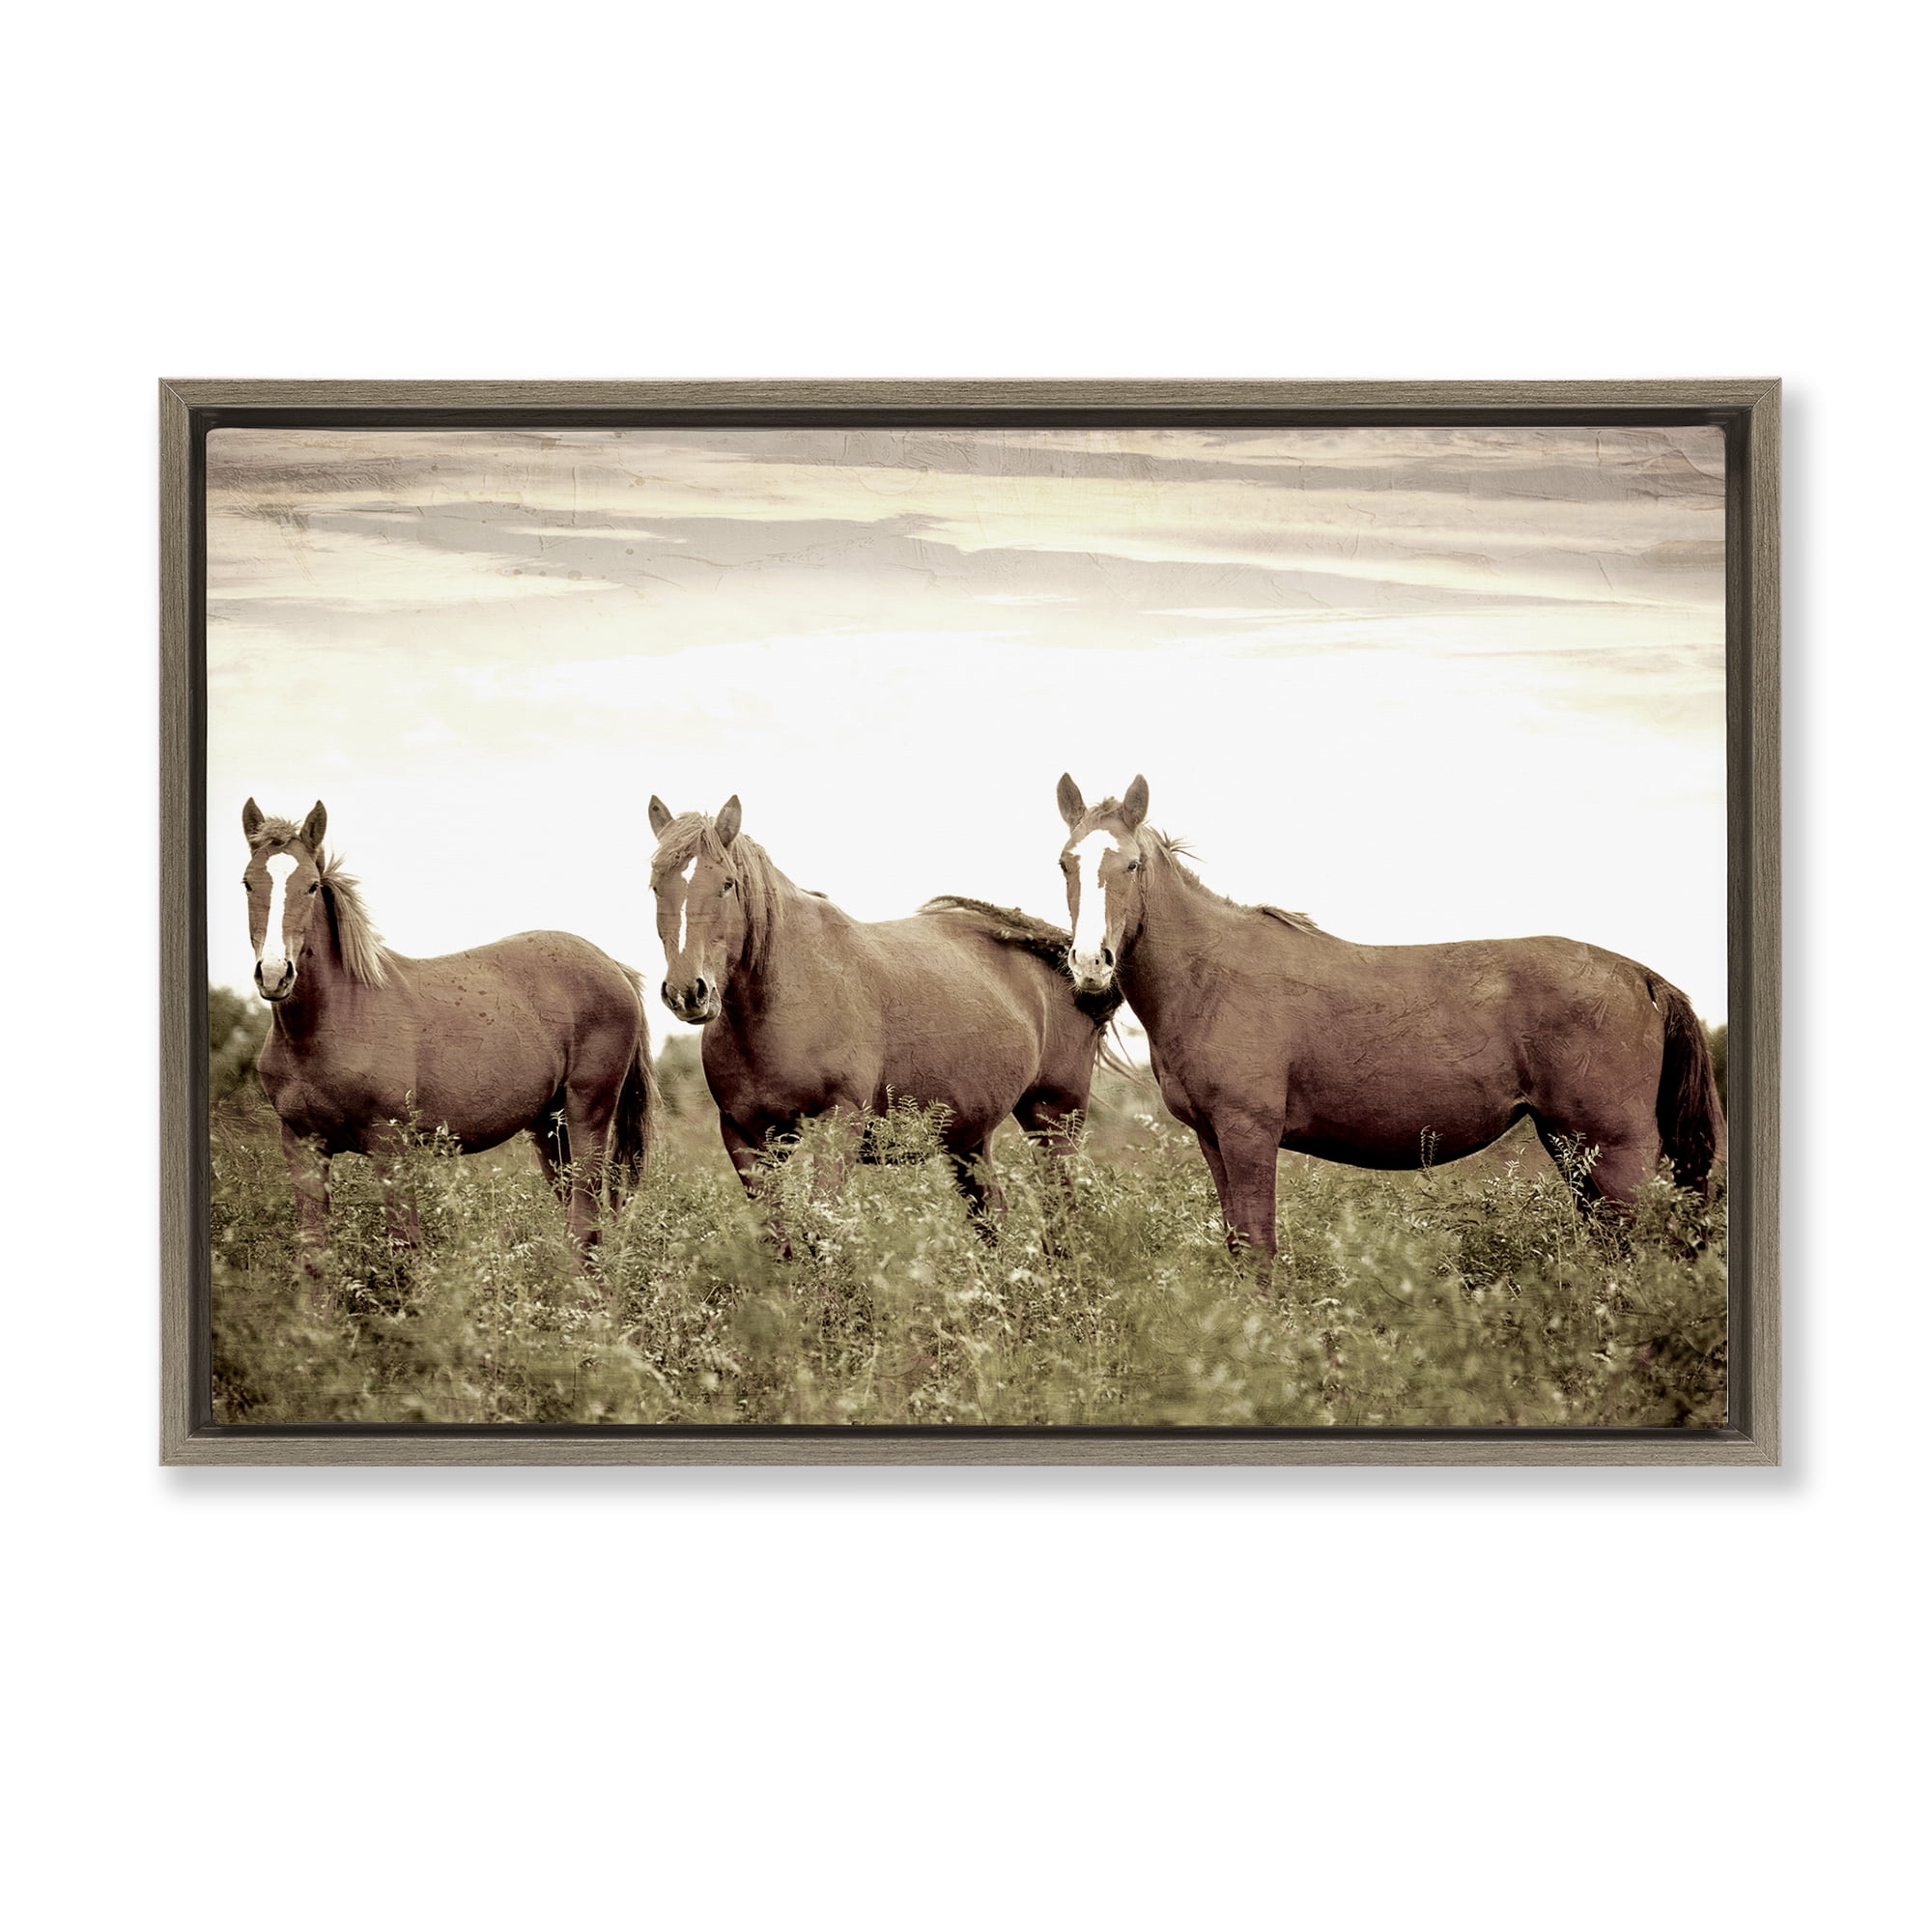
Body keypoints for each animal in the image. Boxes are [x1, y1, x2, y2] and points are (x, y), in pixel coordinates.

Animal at [238, 798, 655, 1282]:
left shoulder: (391, 1146)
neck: (329, 1023)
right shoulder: (303, 1146)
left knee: (585, 1217)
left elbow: (405, 1251)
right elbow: (314, 1258)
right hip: (550, 1129)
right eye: (248, 883)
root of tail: (613, 966)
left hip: (588, 1113)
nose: (274, 974)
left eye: (309, 886)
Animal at [645, 794, 1117, 1239]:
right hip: (969, 1138)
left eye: (726, 884)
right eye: (655, 885)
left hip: (1053, 1122)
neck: (782, 1000)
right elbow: (776, 1236)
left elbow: (821, 1230)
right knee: (991, 1217)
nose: (688, 992)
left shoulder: (838, 1126)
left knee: (1062, 1211)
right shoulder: (746, 1138)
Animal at [1053, 774, 1725, 1261]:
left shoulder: (1249, 1133)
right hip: (1573, 1148)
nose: (1090, 962)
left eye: (1131, 865)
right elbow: (1240, 1247)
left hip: (1614, 1151)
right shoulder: (1213, 1137)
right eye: (1065, 863)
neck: (1210, 975)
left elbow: (1260, 1248)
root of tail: (1640, 976)